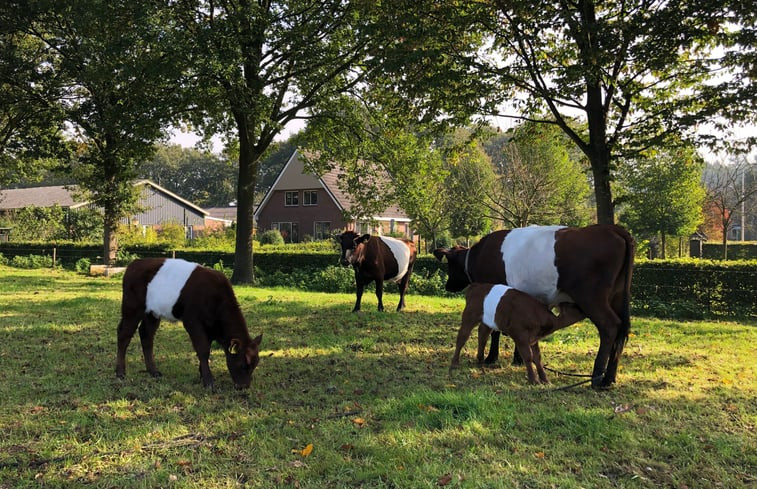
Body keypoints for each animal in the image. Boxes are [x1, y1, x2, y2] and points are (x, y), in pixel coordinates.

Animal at [114, 258, 262, 390]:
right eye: (243, 364)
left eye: (255, 365)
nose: (244, 386)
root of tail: (134, 263)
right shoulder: (193, 322)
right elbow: (203, 350)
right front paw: (208, 381)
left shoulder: (210, 328)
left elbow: (206, 349)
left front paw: (202, 375)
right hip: (132, 307)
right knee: (124, 335)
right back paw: (120, 373)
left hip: (152, 312)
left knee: (146, 335)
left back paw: (153, 371)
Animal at [452, 282, 588, 386]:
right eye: (574, 306)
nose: (584, 309)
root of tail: (475, 286)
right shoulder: (520, 335)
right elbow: (528, 357)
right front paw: (534, 380)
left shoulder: (533, 338)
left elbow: (537, 358)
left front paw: (545, 380)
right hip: (470, 316)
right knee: (462, 337)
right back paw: (455, 363)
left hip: (487, 320)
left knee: (482, 335)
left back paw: (480, 361)